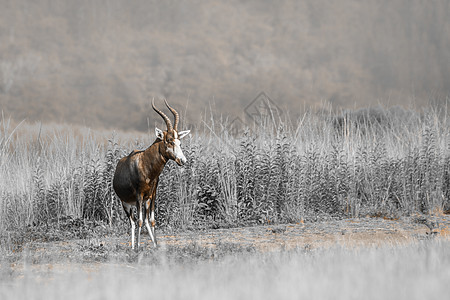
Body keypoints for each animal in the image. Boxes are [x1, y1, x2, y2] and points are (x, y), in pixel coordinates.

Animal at [113, 99, 191, 250]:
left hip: (144, 201)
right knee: (133, 221)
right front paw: (138, 247)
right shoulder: (139, 195)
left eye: (179, 142)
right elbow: (139, 221)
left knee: (144, 220)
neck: (144, 163)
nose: (182, 160)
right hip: (126, 203)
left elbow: (152, 220)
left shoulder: (152, 195)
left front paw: (156, 245)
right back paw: (133, 247)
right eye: (169, 141)